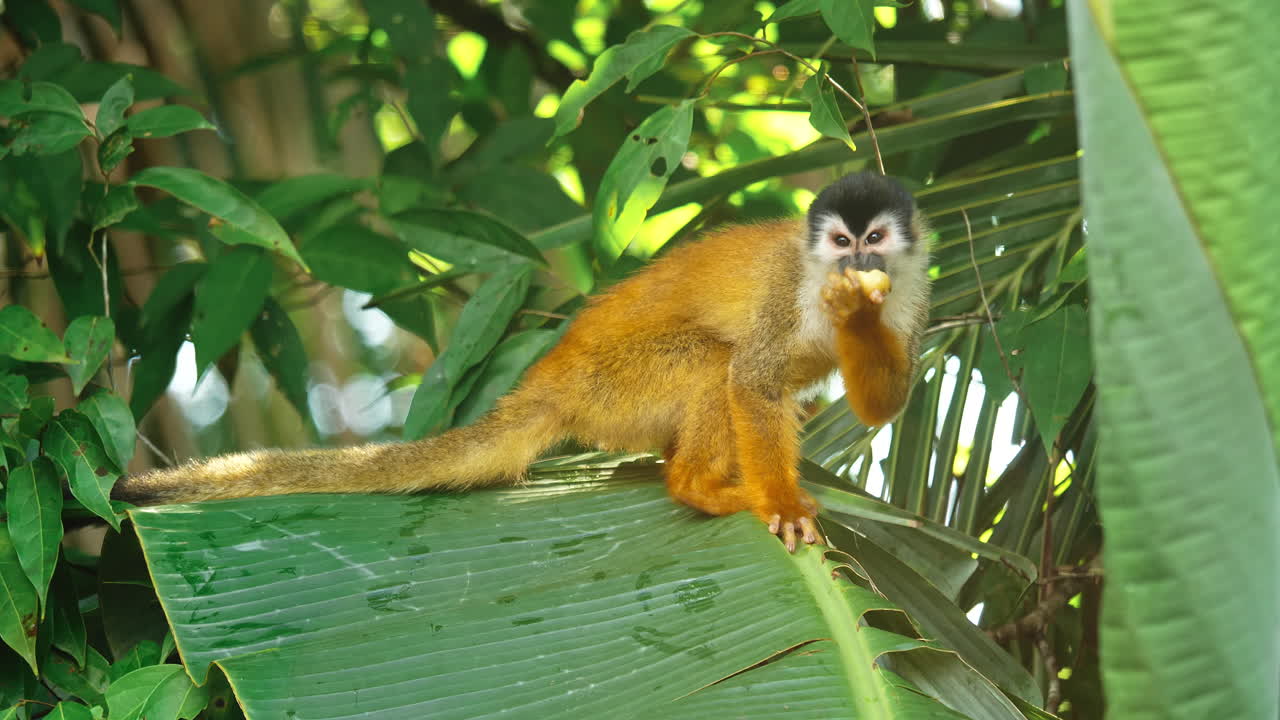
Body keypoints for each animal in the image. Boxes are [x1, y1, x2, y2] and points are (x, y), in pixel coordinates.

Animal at [114, 172, 931, 552]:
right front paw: (784, 505)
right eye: (840, 243)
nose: (856, 265)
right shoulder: (785, 288)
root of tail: (548, 378)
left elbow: (882, 402)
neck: (819, 284)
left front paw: (860, 317)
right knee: (716, 364)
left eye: (875, 240)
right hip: (614, 385)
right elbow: (752, 377)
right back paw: (699, 487)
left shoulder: (913, 291)